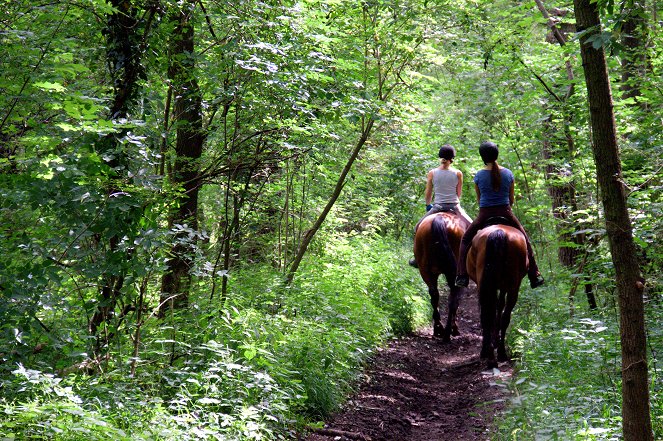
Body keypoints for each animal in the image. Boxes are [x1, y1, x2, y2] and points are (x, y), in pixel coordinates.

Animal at [412, 211, 470, 342]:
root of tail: (440, 219)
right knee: (453, 298)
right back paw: (449, 332)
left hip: (426, 271)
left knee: (434, 295)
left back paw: (439, 329)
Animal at [466, 223, 528, 368]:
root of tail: (499, 232)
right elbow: (499, 309)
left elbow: (494, 309)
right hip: (511, 287)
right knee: (504, 317)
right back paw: (500, 353)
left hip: (489, 286)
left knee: (487, 316)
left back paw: (489, 356)